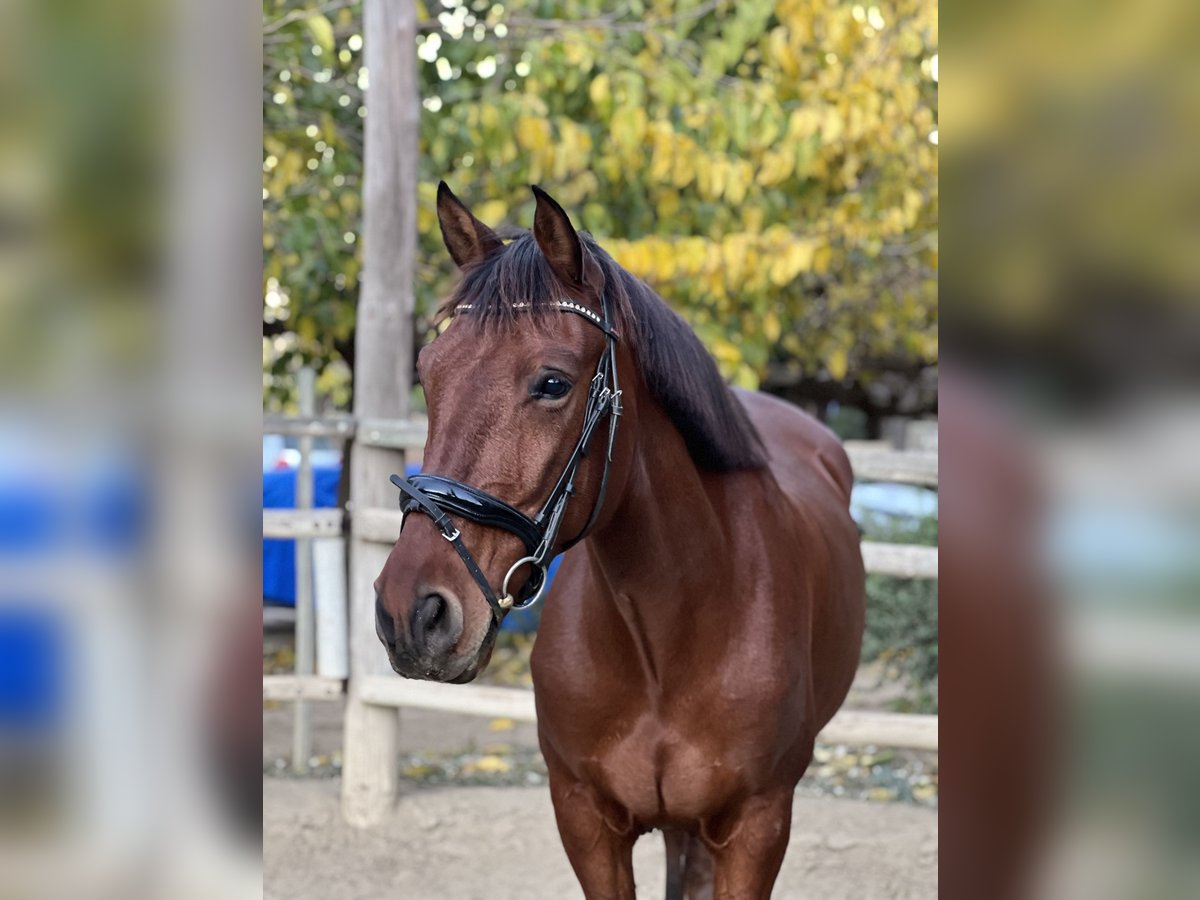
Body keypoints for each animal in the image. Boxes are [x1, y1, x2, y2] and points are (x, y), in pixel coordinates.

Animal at [374, 180, 864, 897]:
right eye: (427, 372)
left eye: (552, 383)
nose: (411, 613)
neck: (670, 632)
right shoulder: (585, 820)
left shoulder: (758, 828)